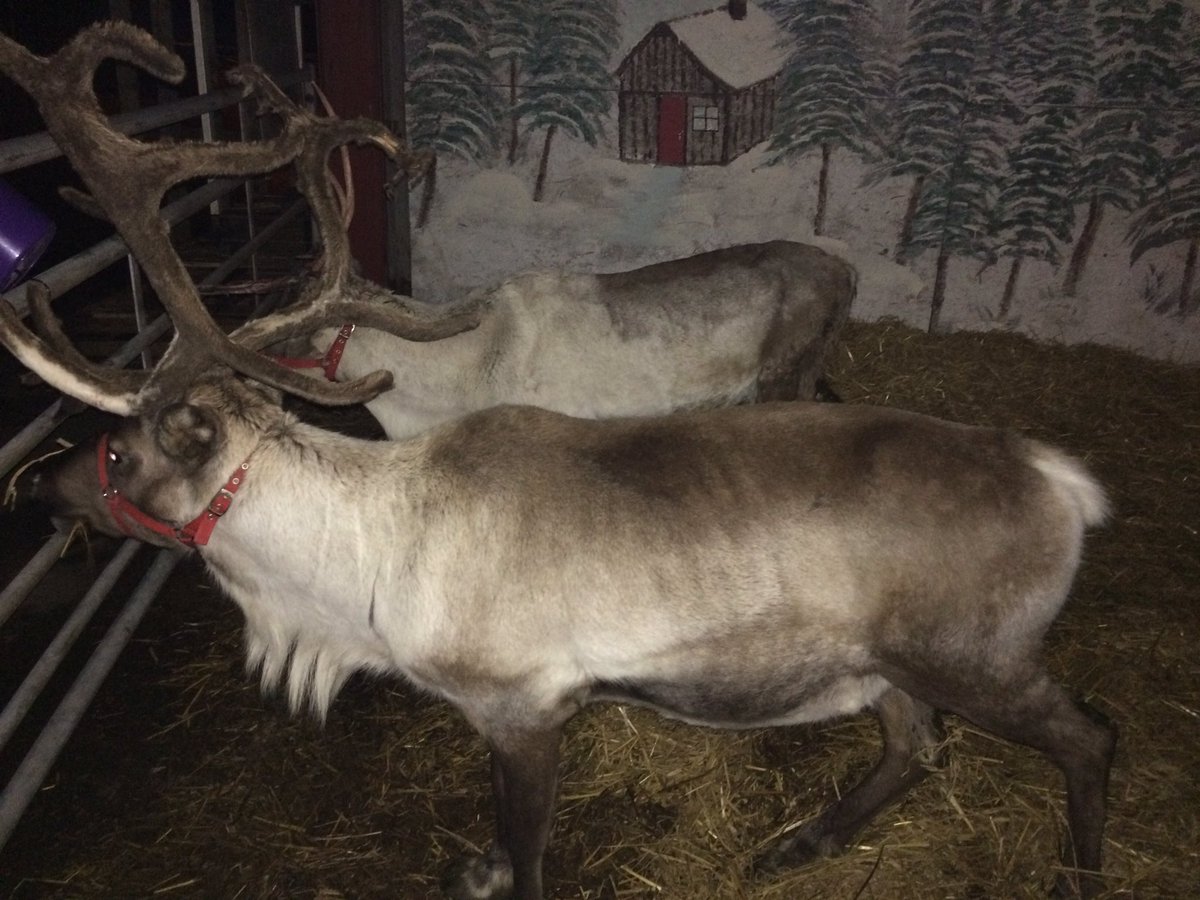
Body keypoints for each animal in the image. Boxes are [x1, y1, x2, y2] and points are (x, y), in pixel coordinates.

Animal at [1, 23, 1115, 900]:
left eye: (118, 445)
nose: (37, 487)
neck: (353, 580)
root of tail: (1065, 486)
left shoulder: (525, 707)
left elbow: (529, 852)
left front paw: (499, 868)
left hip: (978, 657)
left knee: (1089, 737)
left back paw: (1077, 870)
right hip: (887, 664)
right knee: (918, 743)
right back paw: (800, 845)